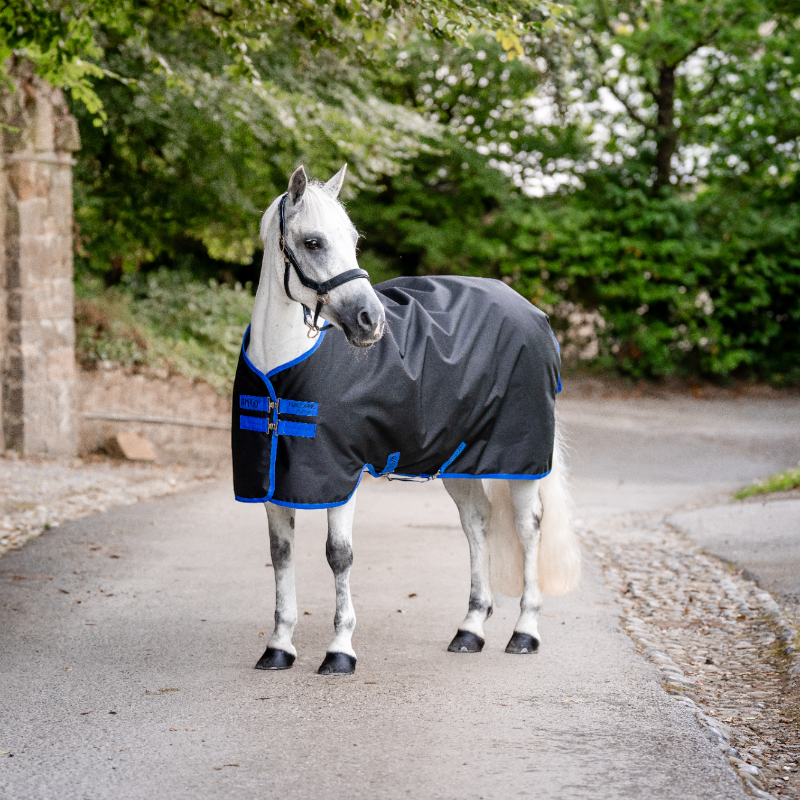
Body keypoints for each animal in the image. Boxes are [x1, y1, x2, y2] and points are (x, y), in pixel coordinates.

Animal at [234, 164, 581, 676]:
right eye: (313, 242)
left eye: (354, 239)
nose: (371, 320)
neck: (282, 371)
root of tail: (535, 314)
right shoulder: (274, 480)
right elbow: (281, 556)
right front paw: (278, 646)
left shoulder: (342, 476)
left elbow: (339, 556)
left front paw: (340, 651)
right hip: (459, 461)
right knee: (476, 523)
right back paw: (470, 629)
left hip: (520, 461)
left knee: (528, 528)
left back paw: (525, 632)